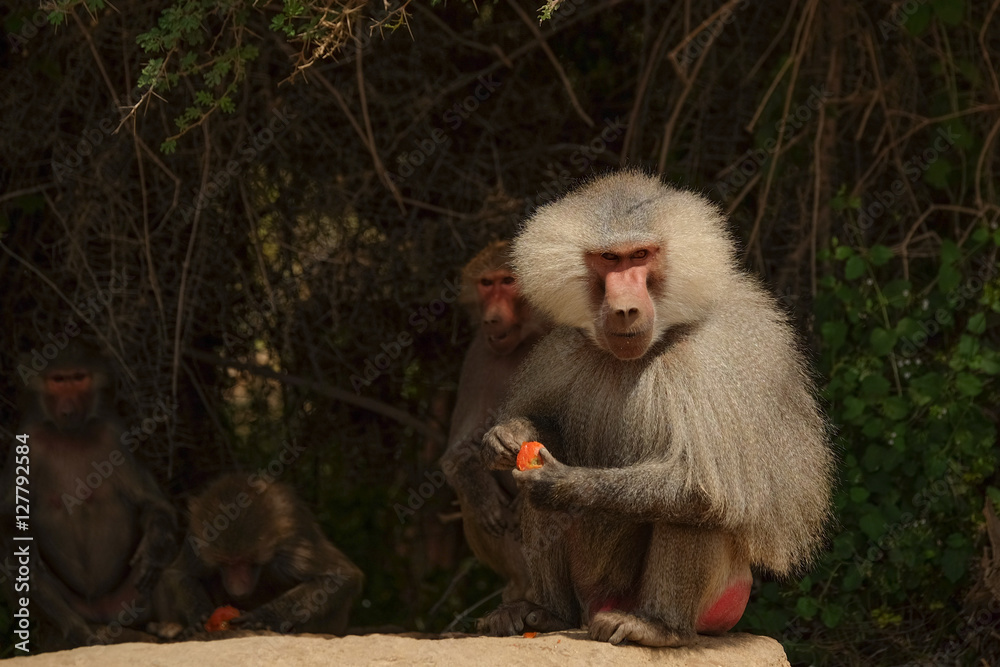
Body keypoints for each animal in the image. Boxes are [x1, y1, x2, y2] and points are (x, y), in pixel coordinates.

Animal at [0, 342, 178, 650]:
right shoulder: (27, 441)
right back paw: (77, 633)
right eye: (58, 380)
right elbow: (10, 516)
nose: (68, 409)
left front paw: (153, 546)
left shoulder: (115, 435)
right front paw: (22, 549)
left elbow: (154, 504)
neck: (70, 433)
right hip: (79, 609)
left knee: (164, 549)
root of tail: (102, 614)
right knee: (16, 570)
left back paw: (167, 627)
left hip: (131, 604)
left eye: (78, 378)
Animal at [153, 472, 364, 637]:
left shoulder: (291, 547)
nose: (237, 588)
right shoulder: (198, 542)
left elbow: (339, 577)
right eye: (225, 563)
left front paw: (263, 617)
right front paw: (199, 616)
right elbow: (176, 574)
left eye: (245, 561)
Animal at [440, 240, 550, 601]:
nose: (491, 318)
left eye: (508, 281)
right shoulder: (478, 355)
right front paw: (484, 496)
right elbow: (459, 452)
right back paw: (520, 591)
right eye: (486, 284)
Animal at [477, 171, 833, 647]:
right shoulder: (562, 349)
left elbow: (707, 488)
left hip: (719, 601)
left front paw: (562, 483)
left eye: (642, 255)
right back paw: (544, 612)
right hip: (587, 590)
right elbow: (543, 434)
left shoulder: (711, 363)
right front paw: (509, 434)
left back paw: (655, 627)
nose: (625, 308)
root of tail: (597, 608)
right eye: (610, 259)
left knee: (699, 502)